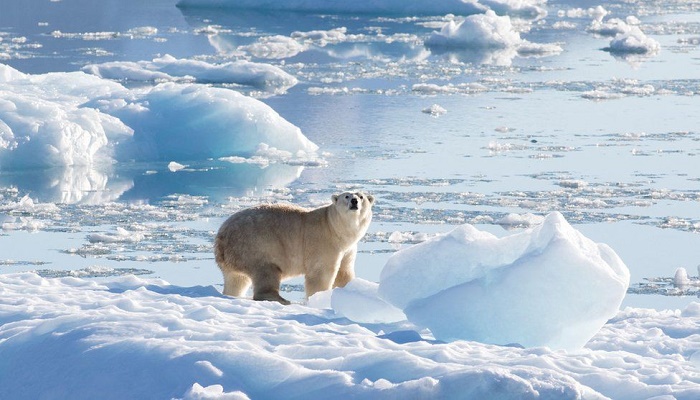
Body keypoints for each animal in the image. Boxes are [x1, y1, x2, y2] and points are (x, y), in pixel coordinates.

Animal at [214, 191, 375, 305]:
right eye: (346, 196)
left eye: (361, 196)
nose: (354, 201)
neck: (334, 227)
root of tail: (221, 237)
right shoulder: (323, 242)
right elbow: (321, 273)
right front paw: (320, 298)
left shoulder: (348, 249)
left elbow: (344, 272)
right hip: (255, 245)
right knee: (266, 271)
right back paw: (282, 299)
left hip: (235, 256)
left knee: (236, 280)